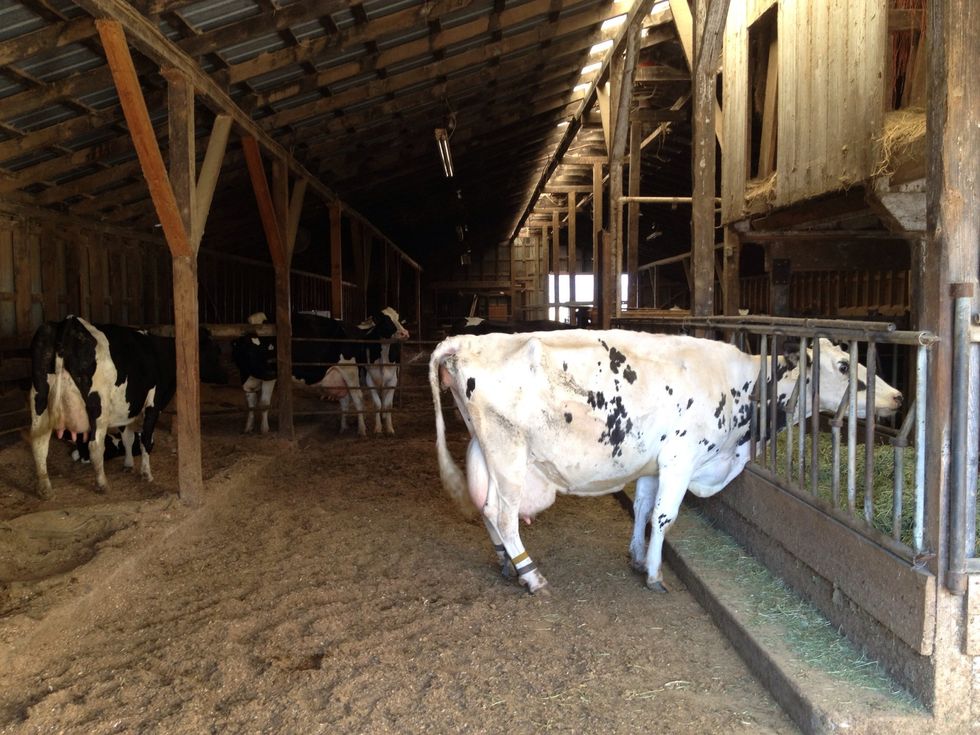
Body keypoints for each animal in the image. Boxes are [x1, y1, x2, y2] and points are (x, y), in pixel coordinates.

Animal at [29, 316, 227, 498]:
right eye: (215, 351)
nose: (224, 376)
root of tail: (69, 322)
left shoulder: (125, 409)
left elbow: (128, 437)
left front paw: (128, 464)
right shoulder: (153, 404)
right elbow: (145, 439)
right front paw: (146, 474)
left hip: (39, 399)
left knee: (39, 444)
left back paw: (44, 489)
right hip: (97, 405)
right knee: (95, 445)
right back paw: (102, 484)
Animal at [429, 330, 903, 594]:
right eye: (844, 365)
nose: (898, 397)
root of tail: (467, 341)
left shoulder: (652, 462)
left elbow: (642, 508)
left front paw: (638, 557)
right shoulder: (681, 456)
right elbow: (664, 516)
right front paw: (655, 574)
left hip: (488, 451)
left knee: (486, 508)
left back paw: (507, 564)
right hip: (509, 452)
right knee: (502, 514)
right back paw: (531, 576)